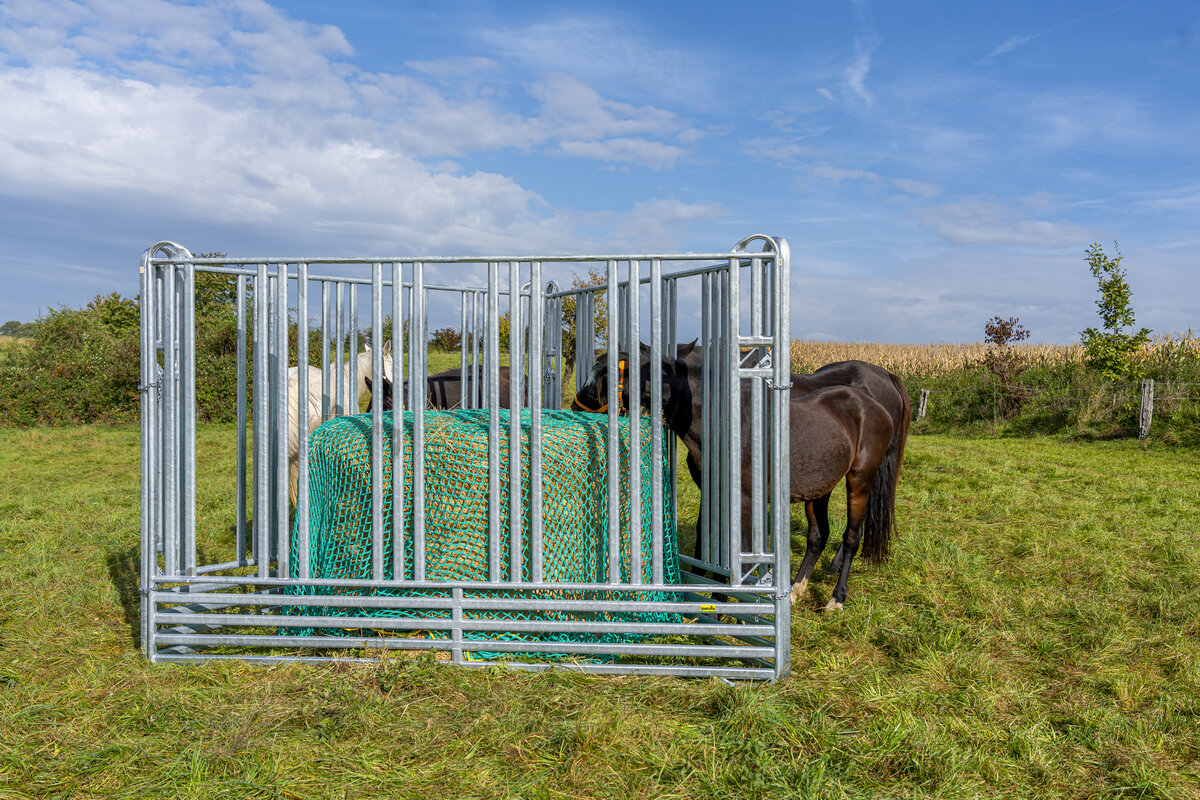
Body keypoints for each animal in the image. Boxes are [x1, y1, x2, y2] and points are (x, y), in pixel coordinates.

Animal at [566, 347, 897, 606]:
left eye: (605, 374)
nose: (573, 406)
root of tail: (874, 404)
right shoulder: (714, 493)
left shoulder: (745, 501)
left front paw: (722, 602)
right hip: (818, 490)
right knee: (817, 537)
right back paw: (795, 591)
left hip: (859, 481)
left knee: (852, 537)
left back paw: (836, 598)